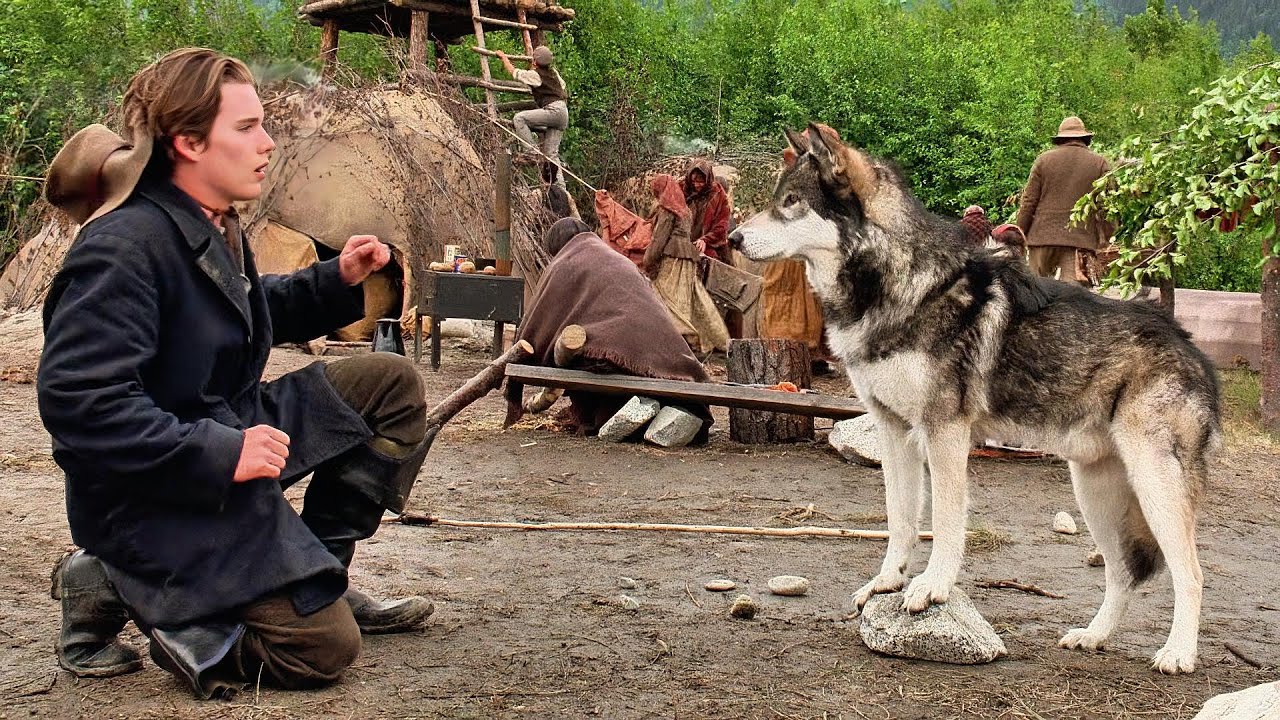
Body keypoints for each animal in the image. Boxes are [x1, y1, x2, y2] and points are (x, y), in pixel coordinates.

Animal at [729, 123, 1221, 674]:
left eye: (792, 202)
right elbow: (901, 520)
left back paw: (1178, 653)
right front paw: (887, 581)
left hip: (1154, 487)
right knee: (1122, 574)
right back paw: (1093, 637)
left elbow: (945, 522)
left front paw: (931, 588)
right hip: (1095, 493)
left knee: (1191, 572)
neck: (900, 285)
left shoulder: (945, 432)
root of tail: (1192, 348)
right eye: (777, 199)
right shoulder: (893, 432)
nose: (733, 238)